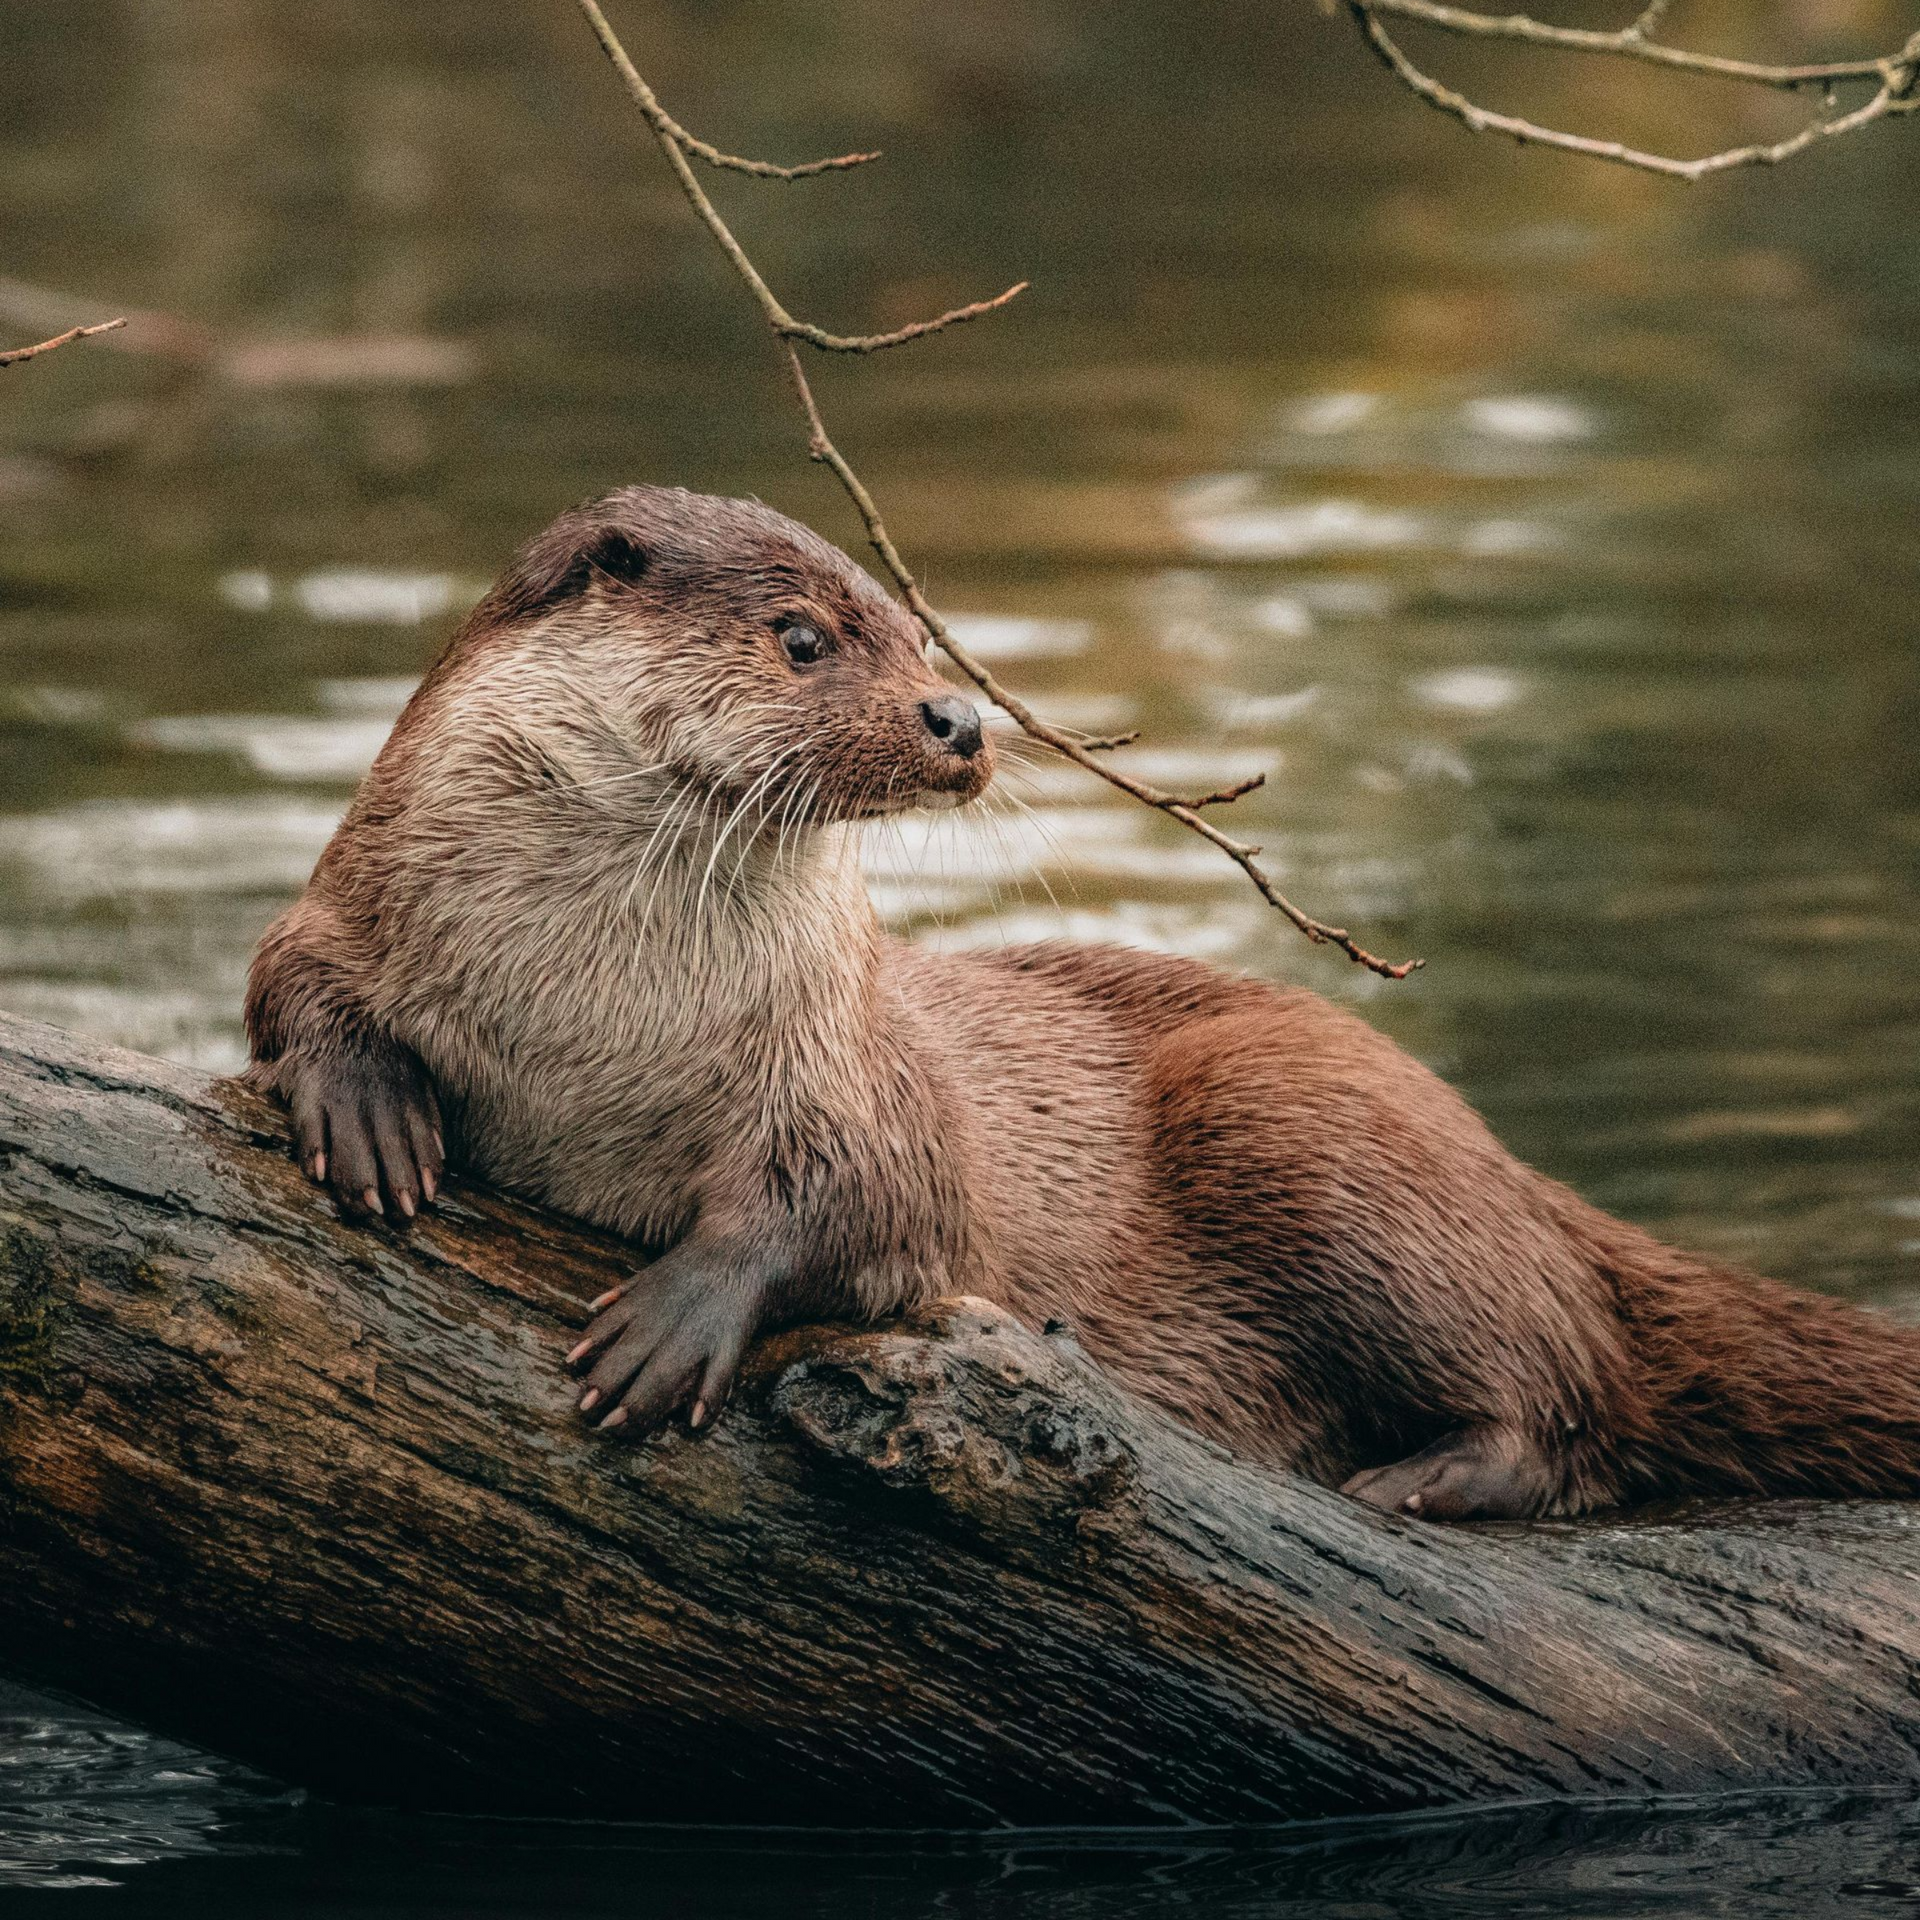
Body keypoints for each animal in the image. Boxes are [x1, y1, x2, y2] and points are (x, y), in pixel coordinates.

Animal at [246, 485, 1920, 1520]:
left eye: (917, 630)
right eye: (805, 637)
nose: (958, 718)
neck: (593, 1021)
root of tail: (1520, 1177)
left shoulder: (856, 1065)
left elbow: (875, 1198)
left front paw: (680, 1310)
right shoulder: (353, 900)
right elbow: (285, 975)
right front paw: (366, 1106)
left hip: (1311, 1123)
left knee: (1578, 1395)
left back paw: (1433, 1477)